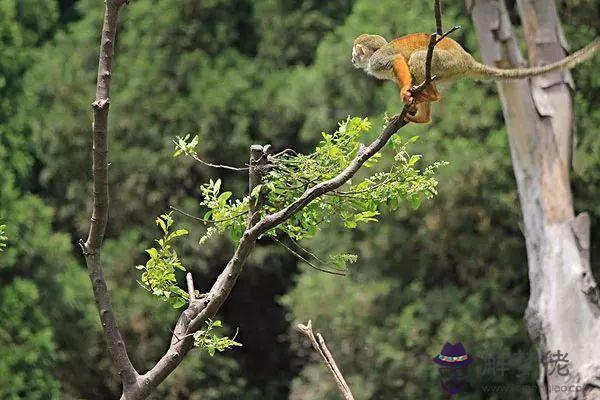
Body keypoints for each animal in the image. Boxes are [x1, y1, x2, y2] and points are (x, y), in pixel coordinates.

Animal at [352, 33, 600, 122]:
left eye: (356, 53)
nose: (353, 60)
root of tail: (467, 58)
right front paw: (410, 102)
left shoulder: (378, 61)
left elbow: (397, 61)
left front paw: (406, 94)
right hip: (449, 68)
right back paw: (424, 112)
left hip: (446, 60)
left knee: (418, 58)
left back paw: (431, 95)